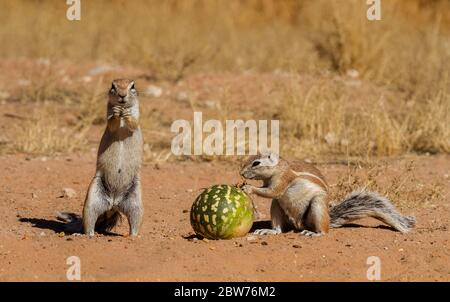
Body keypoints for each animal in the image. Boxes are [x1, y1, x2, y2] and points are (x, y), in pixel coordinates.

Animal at [58, 78, 142, 236]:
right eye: (113, 86)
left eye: (132, 86)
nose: (122, 95)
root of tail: (114, 203)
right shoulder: (108, 115)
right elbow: (111, 123)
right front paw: (116, 113)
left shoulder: (136, 115)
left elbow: (133, 123)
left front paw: (127, 115)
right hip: (92, 200)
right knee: (89, 222)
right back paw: (86, 234)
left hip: (136, 203)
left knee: (135, 221)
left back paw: (133, 236)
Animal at [241, 153, 416, 236]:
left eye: (256, 163)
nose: (241, 173)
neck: (278, 168)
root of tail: (300, 224)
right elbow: (268, 190)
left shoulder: (283, 179)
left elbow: (273, 191)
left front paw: (248, 188)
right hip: (277, 205)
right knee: (278, 223)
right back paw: (270, 231)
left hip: (317, 205)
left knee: (324, 231)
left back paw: (315, 233)